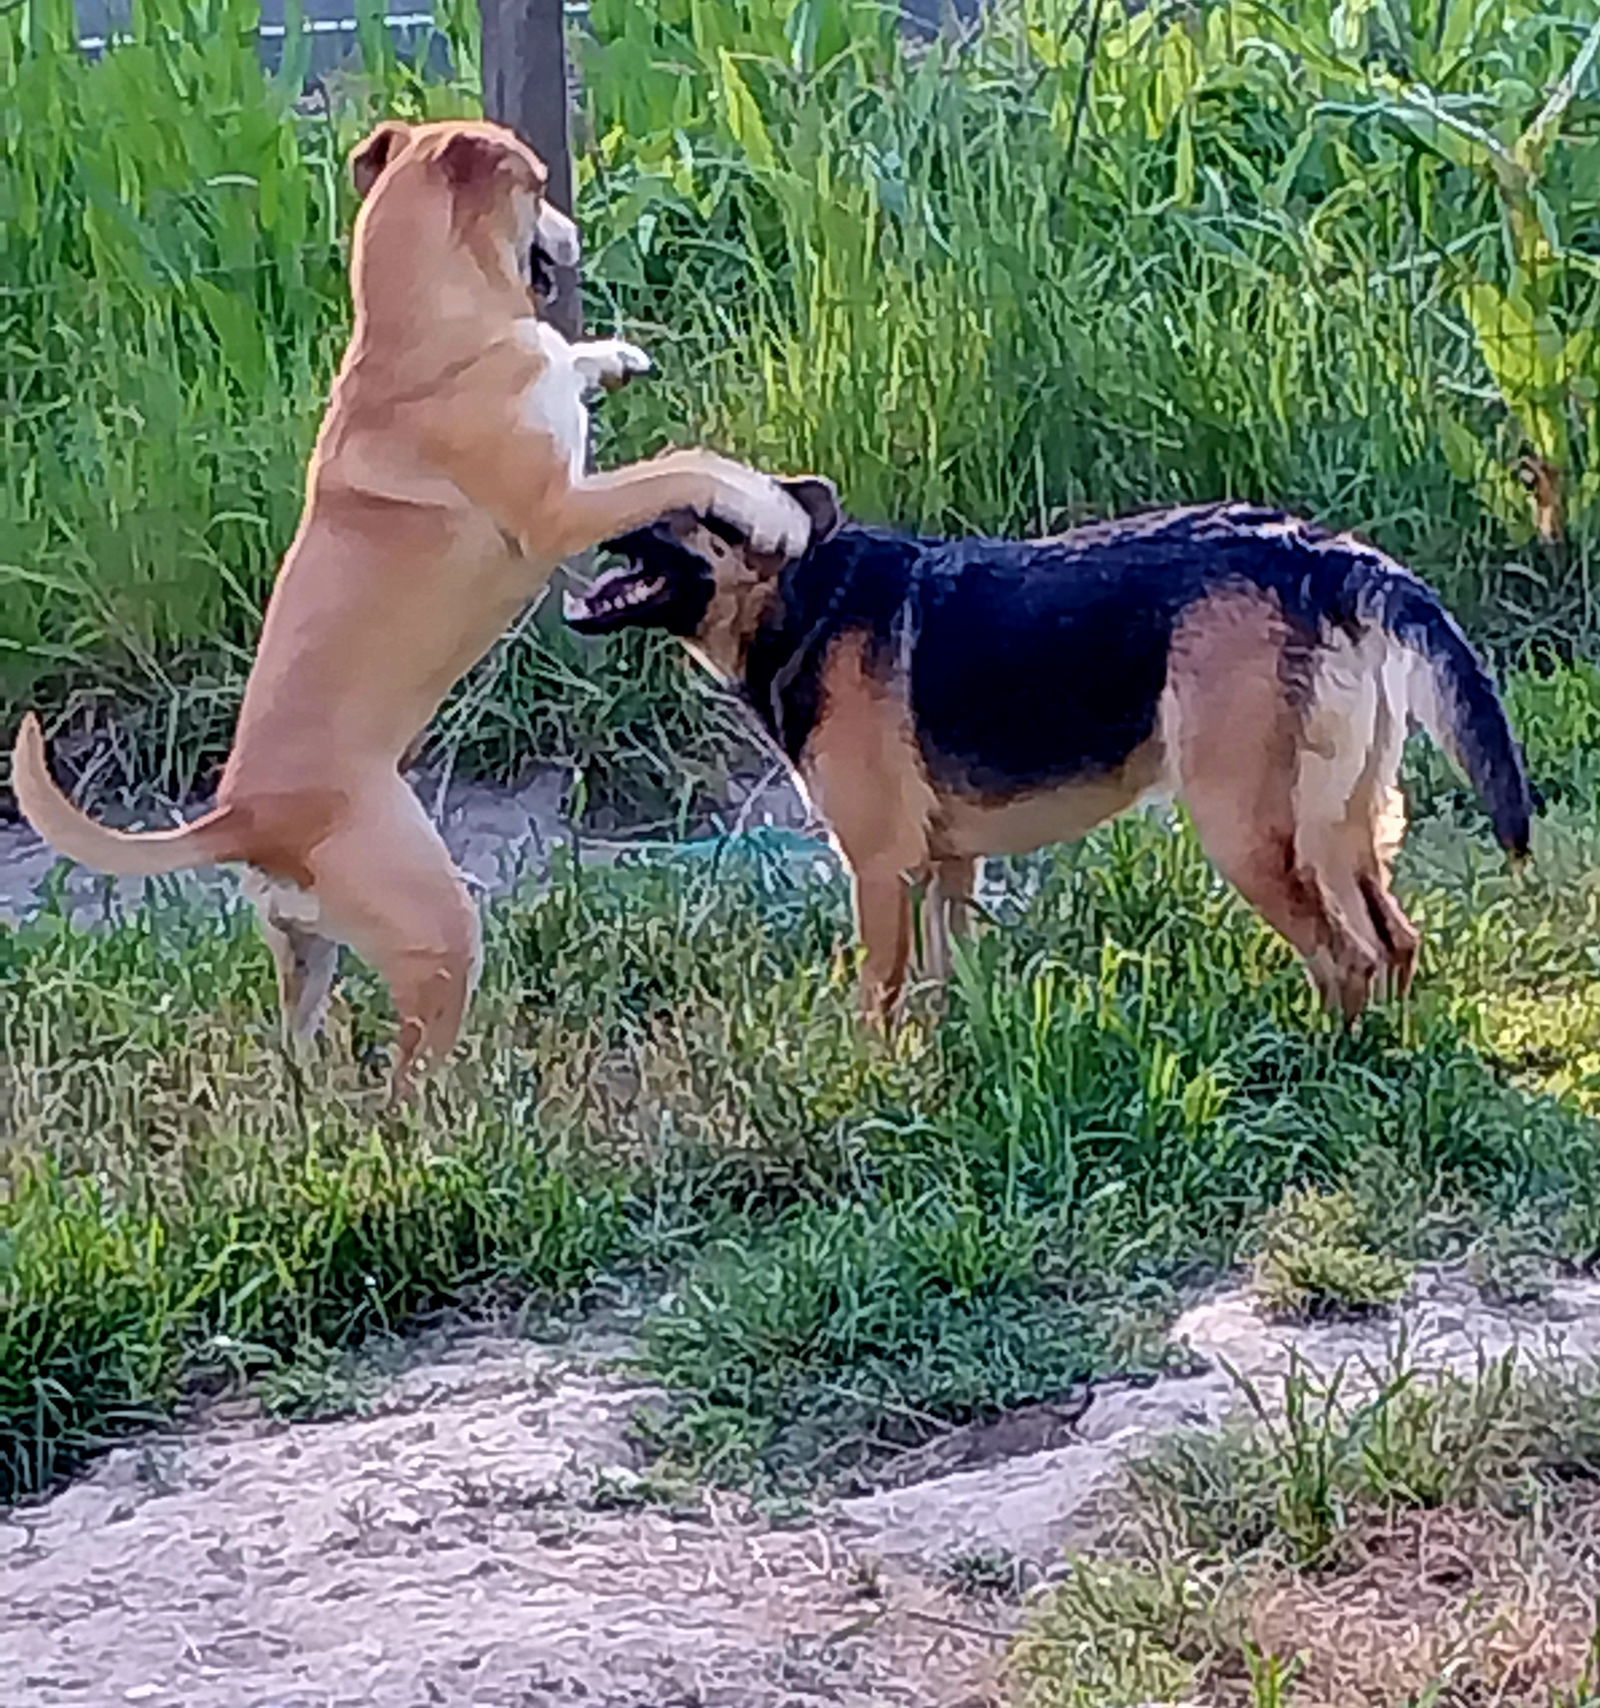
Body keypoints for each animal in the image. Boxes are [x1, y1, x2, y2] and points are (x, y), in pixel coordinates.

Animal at [9, 123, 812, 1106]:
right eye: (536, 184)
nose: (574, 231)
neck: (424, 326)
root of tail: (243, 819)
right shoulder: (563, 509)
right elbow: (686, 465)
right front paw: (771, 508)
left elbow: (573, 369)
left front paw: (610, 358)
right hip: (437, 931)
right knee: (410, 1082)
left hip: (304, 950)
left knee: (300, 1039)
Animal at [566, 481, 1529, 1017]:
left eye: (683, 510)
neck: (807, 595)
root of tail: (1321, 554)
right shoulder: (948, 870)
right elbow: (942, 991)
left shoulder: (879, 871)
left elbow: (877, 1001)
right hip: (1334, 825)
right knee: (1394, 943)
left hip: (1249, 835)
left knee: (1347, 957)